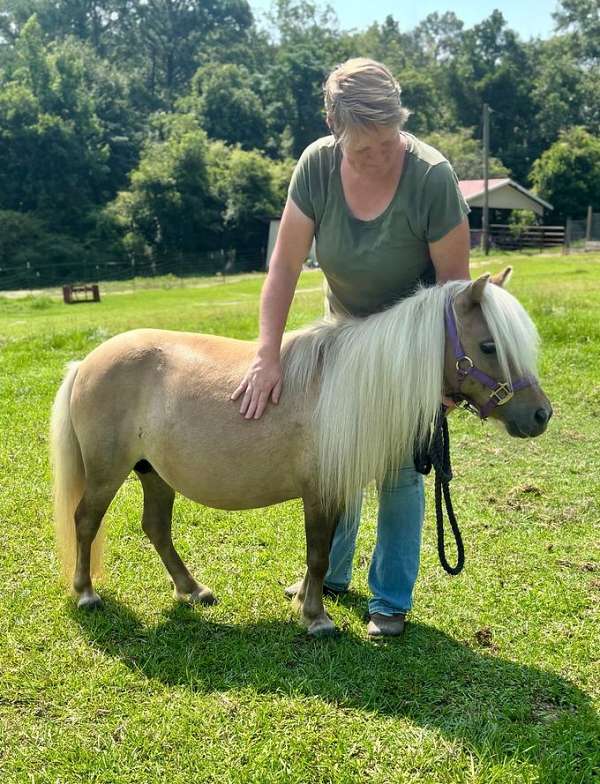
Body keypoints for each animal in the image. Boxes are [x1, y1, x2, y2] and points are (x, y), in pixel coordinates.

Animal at [50, 271, 552, 636]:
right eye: (489, 345)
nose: (541, 414)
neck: (344, 388)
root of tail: (87, 362)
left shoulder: (335, 492)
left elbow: (324, 552)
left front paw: (310, 606)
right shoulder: (319, 493)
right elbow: (317, 555)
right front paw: (317, 618)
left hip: (153, 473)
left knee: (156, 529)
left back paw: (193, 591)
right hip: (107, 473)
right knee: (85, 521)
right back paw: (86, 593)